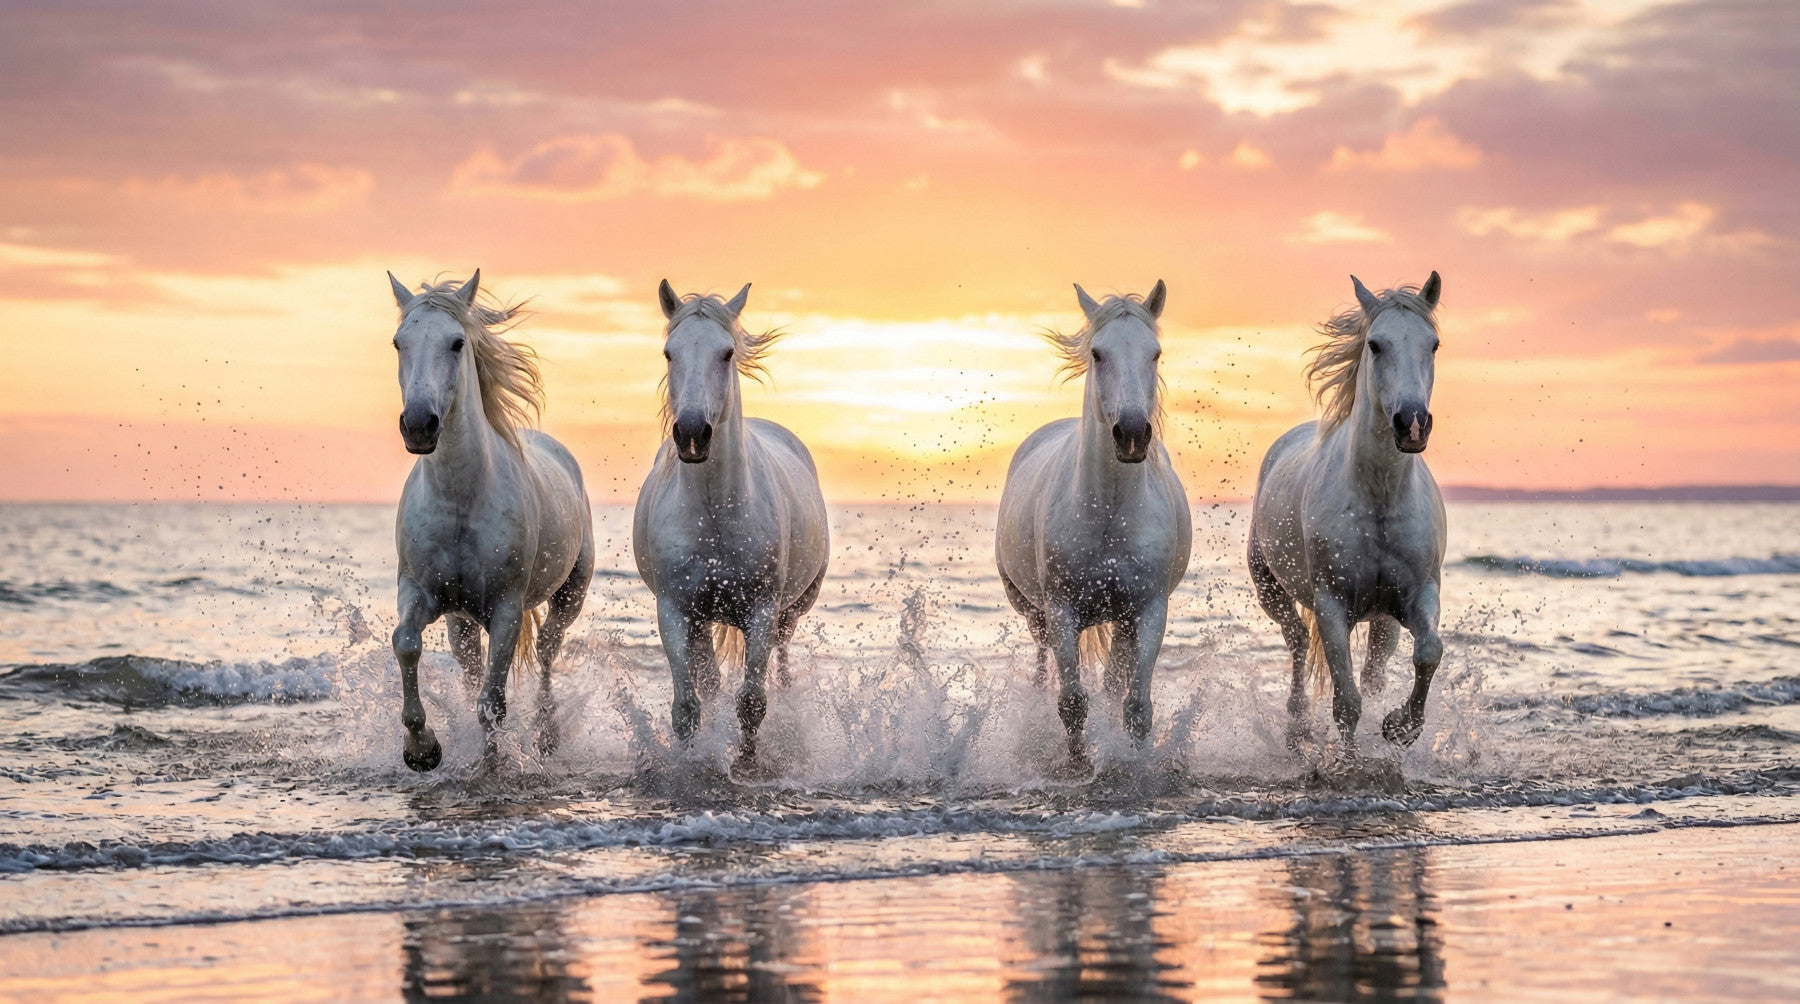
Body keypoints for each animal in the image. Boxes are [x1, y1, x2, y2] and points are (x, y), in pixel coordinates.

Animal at [387, 270, 594, 772]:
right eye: (399, 342)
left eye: (457, 342)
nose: (418, 425)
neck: (462, 500)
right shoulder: (419, 591)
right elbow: (406, 643)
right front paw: (422, 749)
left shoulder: (505, 610)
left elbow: (493, 703)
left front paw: (493, 766)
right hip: (460, 621)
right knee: (471, 669)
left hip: (569, 596)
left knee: (546, 652)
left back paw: (546, 737)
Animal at [632, 281, 829, 779]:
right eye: (669, 353)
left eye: (726, 353)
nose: (691, 433)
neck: (714, 515)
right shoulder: (675, 612)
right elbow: (687, 706)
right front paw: (690, 762)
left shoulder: (761, 611)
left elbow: (753, 701)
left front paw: (746, 762)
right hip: (703, 621)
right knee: (709, 681)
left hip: (788, 613)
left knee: (780, 670)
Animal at [996, 282, 1192, 777]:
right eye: (1098, 353)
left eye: (1155, 353)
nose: (1132, 434)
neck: (1110, 514)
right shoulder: (1061, 611)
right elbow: (1071, 703)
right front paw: (1079, 764)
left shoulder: (1148, 612)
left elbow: (1136, 706)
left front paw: (1134, 765)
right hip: (1035, 614)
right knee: (1044, 670)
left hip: (1120, 623)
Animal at [1248, 271, 1447, 755]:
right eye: (1375, 344)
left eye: (1432, 344)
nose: (1412, 423)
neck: (1378, 499)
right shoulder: (1332, 607)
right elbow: (1346, 703)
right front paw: (1348, 763)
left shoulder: (1420, 594)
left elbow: (1428, 653)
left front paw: (1400, 727)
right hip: (1271, 591)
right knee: (1298, 643)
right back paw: (1297, 727)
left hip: (1384, 623)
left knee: (1374, 669)